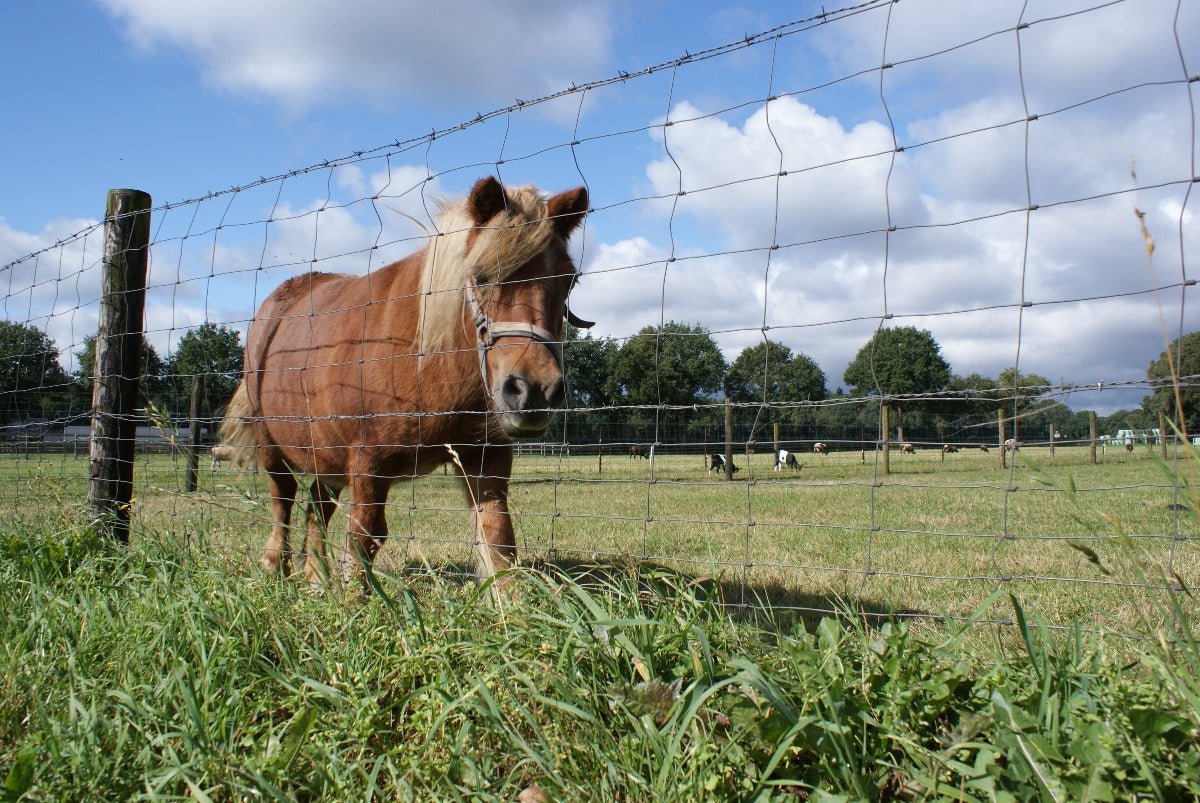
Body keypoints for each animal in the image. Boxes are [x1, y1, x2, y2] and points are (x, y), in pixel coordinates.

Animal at [222, 176, 590, 588]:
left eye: (569, 280)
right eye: (481, 276)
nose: (534, 391)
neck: (425, 362)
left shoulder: (486, 457)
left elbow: (498, 540)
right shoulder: (367, 463)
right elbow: (364, 538)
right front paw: (354, 600)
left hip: (324, 451)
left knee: (317, 506)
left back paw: (317, 578)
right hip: (272, 444)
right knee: (283, 499)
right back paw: (275, 566)